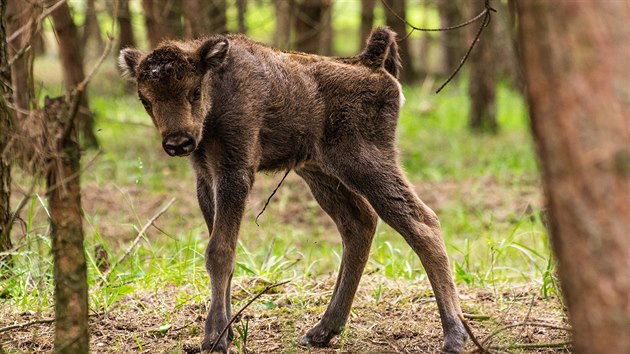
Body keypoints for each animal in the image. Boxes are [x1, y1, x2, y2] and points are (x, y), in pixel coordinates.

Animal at [119, 28, 470, 354]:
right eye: (145, 100)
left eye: (194, 91)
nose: (178, 142)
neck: (217, 89)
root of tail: (370, 63)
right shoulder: (206, 179)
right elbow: (221, 247)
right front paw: (226, 333)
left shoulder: (235, 172)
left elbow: (219, 251)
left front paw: (214, 338)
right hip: (320, 173)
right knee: (359, 224)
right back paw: (321, 331)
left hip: (365, 162)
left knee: (422, 223)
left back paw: (454, 336)